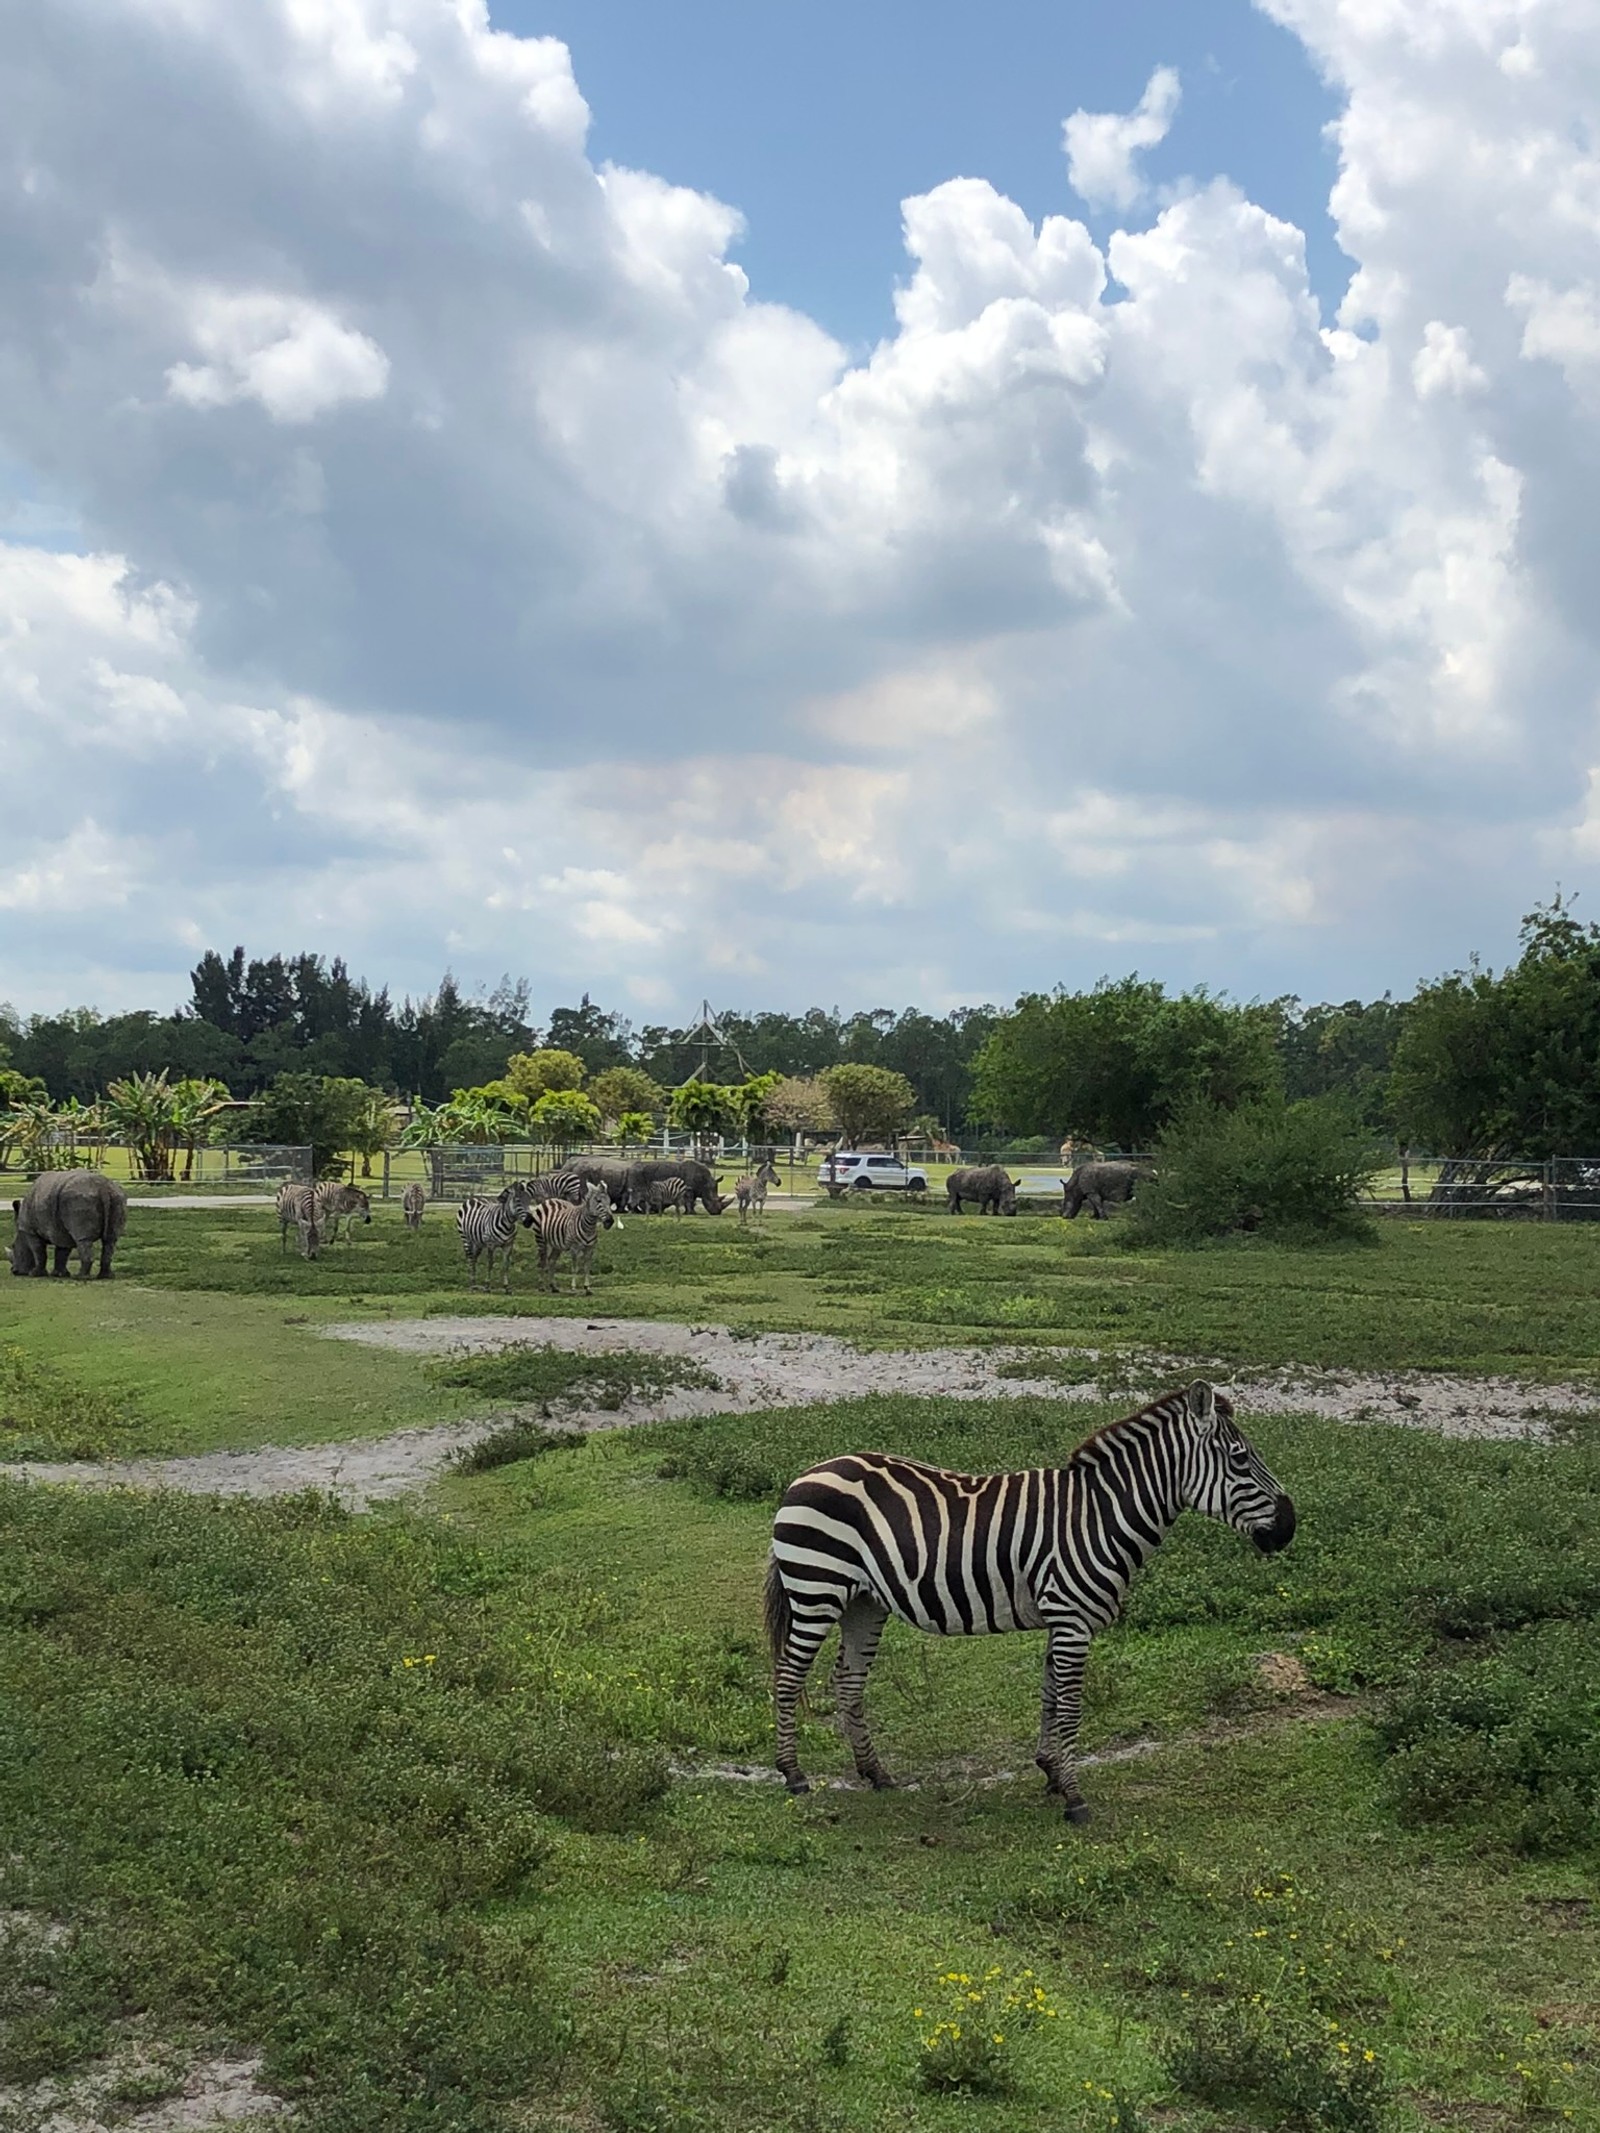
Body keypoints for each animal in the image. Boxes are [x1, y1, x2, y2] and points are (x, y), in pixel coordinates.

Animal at [763, 1390, 1305, 1825]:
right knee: (788, 1676)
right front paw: (1074, 1797)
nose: (1289, 1528)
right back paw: (793, 1774)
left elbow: (1048, 1696)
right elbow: (1070, 1707)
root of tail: (806, 1474)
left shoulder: (1062, 1617)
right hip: (816, 1587)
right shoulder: (1072, 1618)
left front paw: (1050, 1773)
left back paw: (875, 1773)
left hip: (863, 1602)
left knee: (849, 1680)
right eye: (1240, 1459)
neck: (1100, 1515)